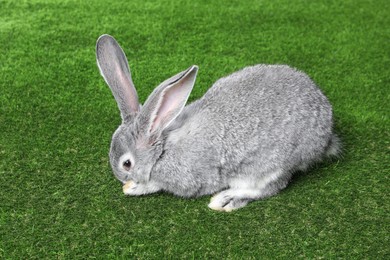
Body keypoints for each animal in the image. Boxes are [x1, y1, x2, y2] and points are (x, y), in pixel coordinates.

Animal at [96, 34, 340, 211]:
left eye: (127, 163)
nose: (120, 178)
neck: (162, 148)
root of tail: (325, 134)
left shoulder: (189, 178)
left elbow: (159, 185)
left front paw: (136, 187)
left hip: (267, 167)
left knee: (269, 187)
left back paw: (225, 200)